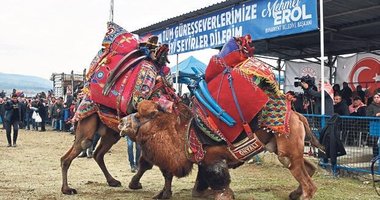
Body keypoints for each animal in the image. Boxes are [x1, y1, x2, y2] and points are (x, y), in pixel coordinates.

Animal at [119, 100, 324, 200]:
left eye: (140, 116)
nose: (121, 121)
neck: (182, 132)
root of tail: (298, 115)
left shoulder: (213, 160)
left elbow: (221, 185)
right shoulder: (202, 163)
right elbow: (197, 188)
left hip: (288, 150)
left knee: (310, 186)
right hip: (284, 151)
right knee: (309, 169)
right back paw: (294, 193)